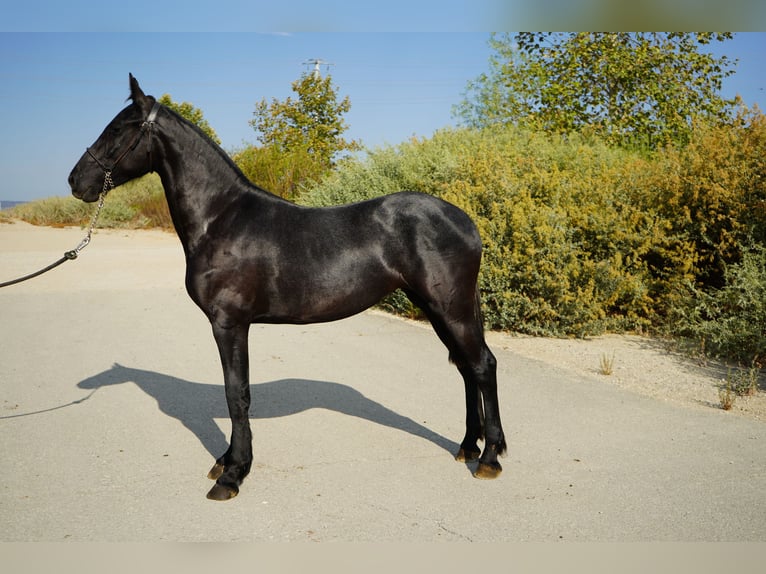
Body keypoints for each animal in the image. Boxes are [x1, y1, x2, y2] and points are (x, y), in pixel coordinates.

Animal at [68, 74, 506, 500]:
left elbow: (236, 394)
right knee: (466, 369)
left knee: (482, 365)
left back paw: (489, 458)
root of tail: (465, 220)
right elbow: (235, 394)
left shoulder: (229, 323)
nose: (75, 181)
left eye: (118, 128)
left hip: (450, 307)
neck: (220, 218)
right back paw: (467, 446)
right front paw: (226, 461)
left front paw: (233, 474)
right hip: (435, 307)